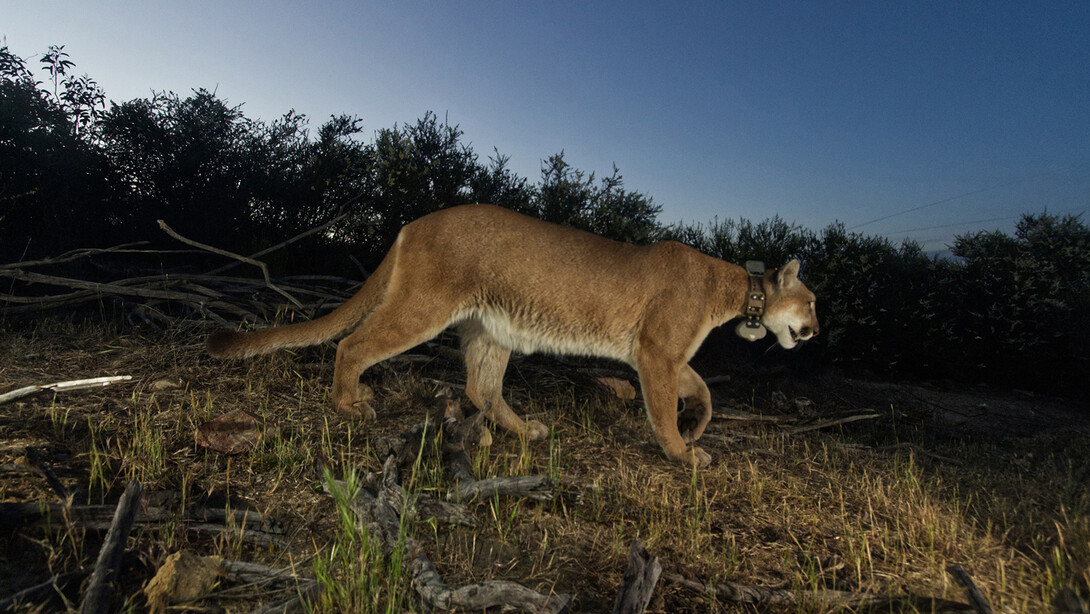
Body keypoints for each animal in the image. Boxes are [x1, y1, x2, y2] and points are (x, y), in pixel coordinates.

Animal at [206, 203, 819, 468]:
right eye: (812, 302)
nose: (814, 330)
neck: (736, 288)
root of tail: (412, 223)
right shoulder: (656, 352)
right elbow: (665, 409)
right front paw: (683, 452)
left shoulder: (661, 355)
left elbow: (703, 388)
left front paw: (697, 426)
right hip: (424, 307)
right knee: (352, 345)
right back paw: (349, 403)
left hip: (493, 327)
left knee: (481, 388)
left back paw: (525, 431)